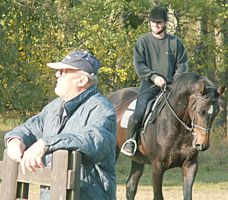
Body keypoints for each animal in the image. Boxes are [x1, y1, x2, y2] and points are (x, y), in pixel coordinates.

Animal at [108, 72, 225, 200]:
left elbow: (187, 194)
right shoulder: (157, 167)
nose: (202, 144)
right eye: (199, 111)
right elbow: (158, 196)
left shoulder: (190, 165)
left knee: (131, 186)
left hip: (138, 158)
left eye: (217, 112)